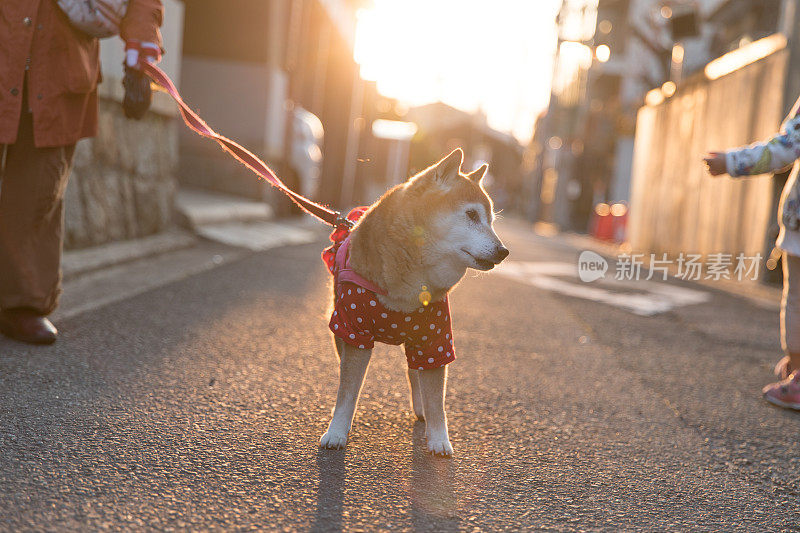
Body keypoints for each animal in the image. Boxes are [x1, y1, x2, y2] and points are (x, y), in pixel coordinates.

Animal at [318, 148, 506, 456]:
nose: (504, 251)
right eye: (471, 214)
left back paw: (421, 410)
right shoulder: (354, 330)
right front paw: (336, 431)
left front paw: (439, 439)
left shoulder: (436, 341)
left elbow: (436, 399)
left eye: (490, 220)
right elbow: (347, 392)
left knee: (414, 373)